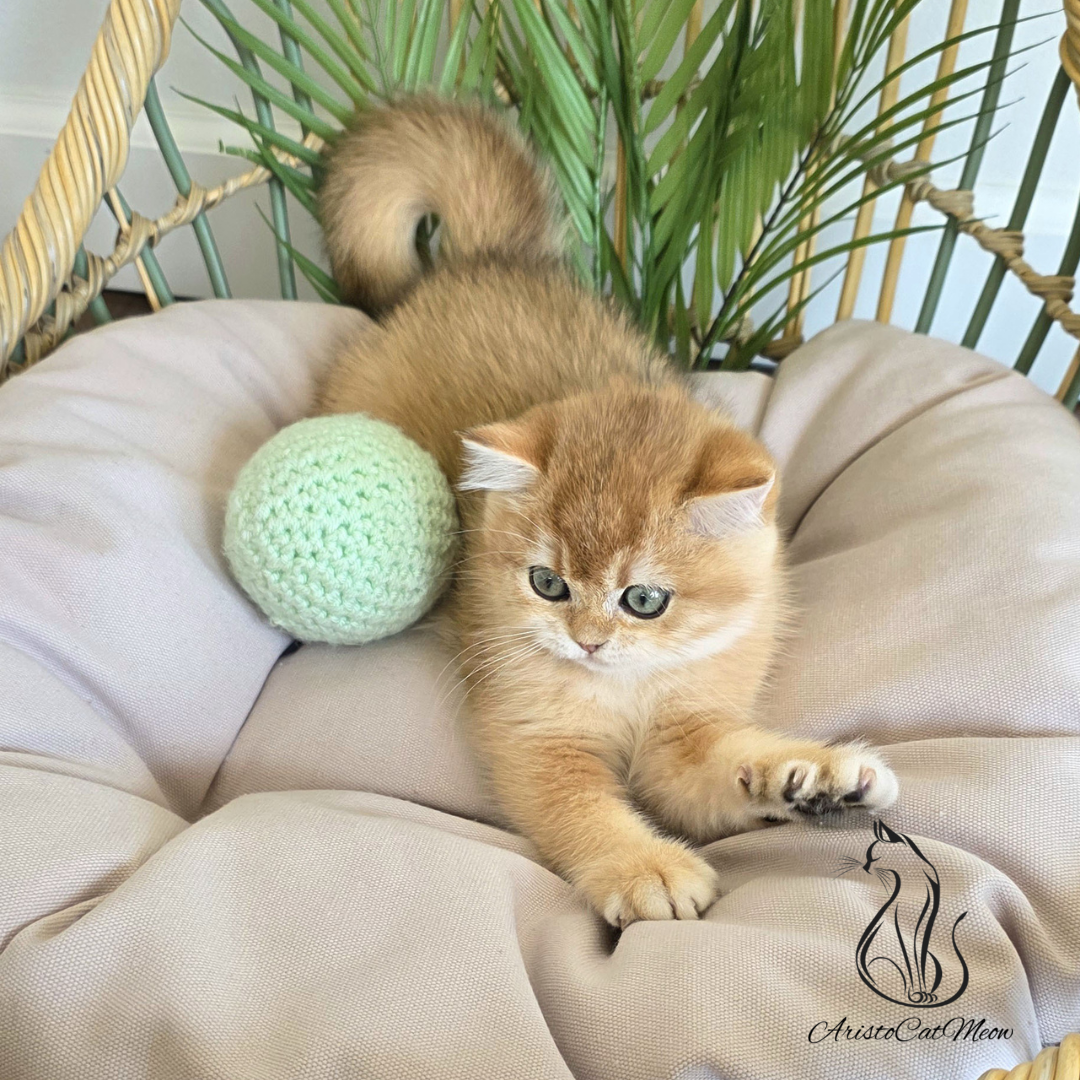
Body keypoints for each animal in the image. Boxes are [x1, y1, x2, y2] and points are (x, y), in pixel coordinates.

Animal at [317, 95, 898, 926]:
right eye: (548, 585)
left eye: (645, 600)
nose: (588, 642)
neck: (629, 689)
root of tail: (489, 259)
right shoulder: (538, 742)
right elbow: (586, 811)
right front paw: (645, 865)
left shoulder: (682, 740)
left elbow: (729, 766)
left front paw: (815, 781)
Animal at [855, 820, 968, 1006]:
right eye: (868, 857)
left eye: (874, 858)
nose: (865, 867)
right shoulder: (902, 929)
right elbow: (911, 964)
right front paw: (917, 993)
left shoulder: (924, 928)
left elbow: (919, 962)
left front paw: (924, 992)